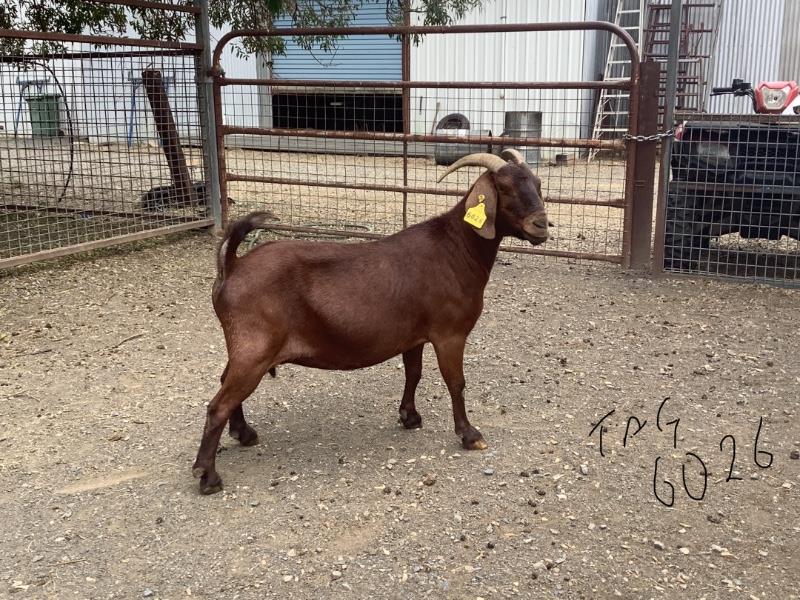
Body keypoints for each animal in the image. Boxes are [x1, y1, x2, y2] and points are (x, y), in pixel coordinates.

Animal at [192, 149, 549, 494]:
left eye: (538, 184)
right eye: (504, 188)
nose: (542, 225)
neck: (456, 249)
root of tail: (233, 266)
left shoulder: (415, 335)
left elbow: (414, 374)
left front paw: (410, 417)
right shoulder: (449, 333)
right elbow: (456, 383)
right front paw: (470, 435)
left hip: (244, 346)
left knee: (226, 384)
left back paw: (244, 433)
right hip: (254, 348)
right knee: (218, 404)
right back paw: (208, 477)